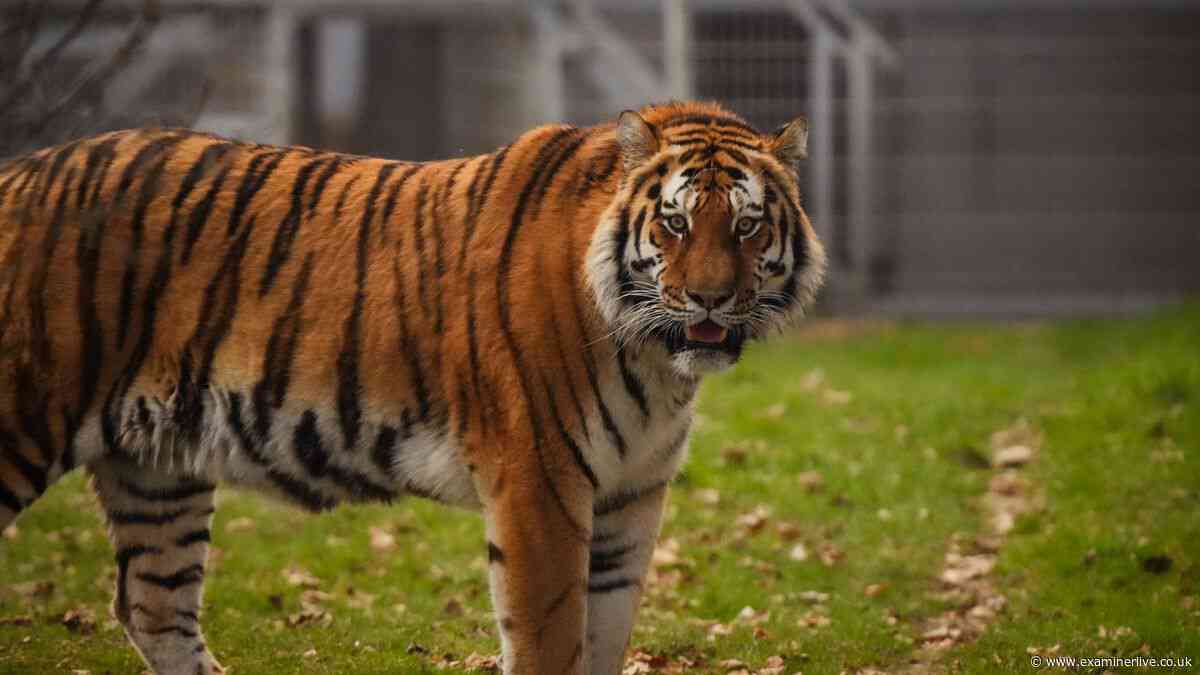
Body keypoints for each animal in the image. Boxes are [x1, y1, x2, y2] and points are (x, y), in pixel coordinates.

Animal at [0, 100, 825, 674]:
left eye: (747, 226)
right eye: (676, 224)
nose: (710, 301)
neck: (655, 362)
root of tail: (20, 170)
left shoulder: (631, 496)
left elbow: (604, 638)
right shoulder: (541, 483)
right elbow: (551, 641)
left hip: (156, 469)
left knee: (153, 606)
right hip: (24, 426)